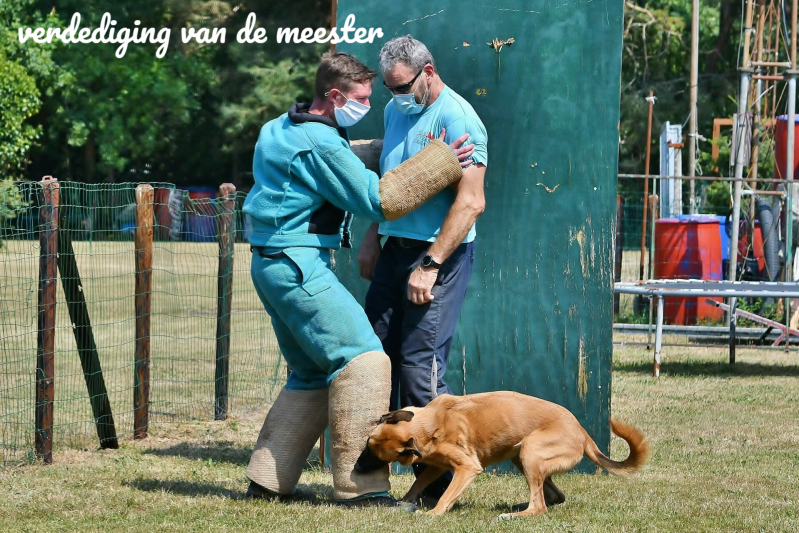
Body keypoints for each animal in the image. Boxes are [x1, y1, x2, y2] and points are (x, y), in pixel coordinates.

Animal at [354, 391, 649, 519]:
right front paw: (404, 502)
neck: (428, 424)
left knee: (540, 505)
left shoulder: (467, 467)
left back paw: (513, 514)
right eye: (367, 444)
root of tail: (583, 433)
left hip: (530, 452)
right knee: (552, 496)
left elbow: (447, 496)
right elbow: (418, 484)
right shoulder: (437, 465)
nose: (355, 469)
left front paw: (433, 514)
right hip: (523, 457)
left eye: (375, 455)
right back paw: (517, 506)